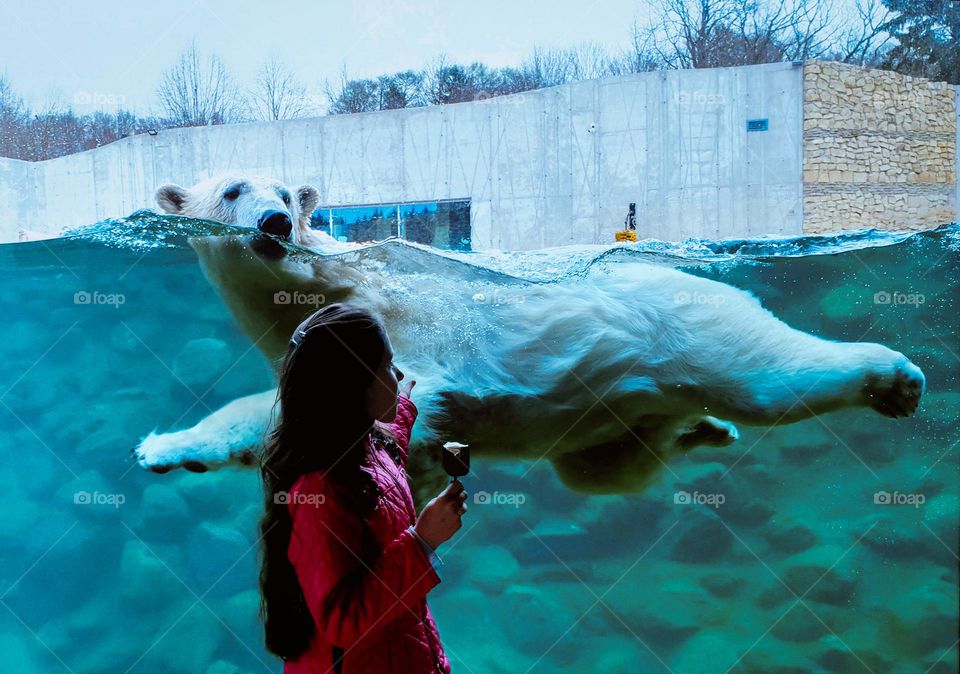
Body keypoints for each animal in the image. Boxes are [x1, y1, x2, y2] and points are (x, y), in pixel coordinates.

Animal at [134, 175, 926, 497]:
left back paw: (894, 380)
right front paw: (167, 453)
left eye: (286, 193)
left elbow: (402, 394)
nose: (275, 220)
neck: (323, 285)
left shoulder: (392, 320)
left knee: (770, 378)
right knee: (607, 467)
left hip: (684, 323)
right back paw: (704, 432)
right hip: (616, 411)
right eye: (233, 190)